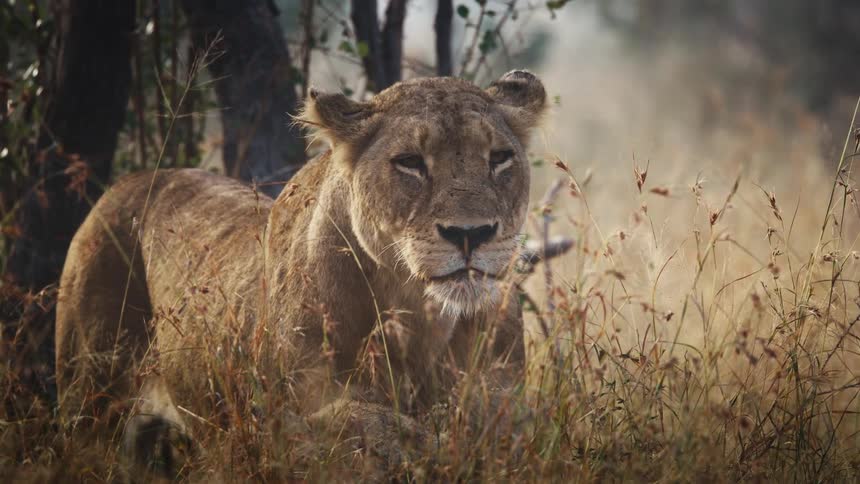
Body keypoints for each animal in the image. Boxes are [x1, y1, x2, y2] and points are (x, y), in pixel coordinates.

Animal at [55, 70, 547, 474]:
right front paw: (409, 441)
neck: (418, 315)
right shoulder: (288, 426)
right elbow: (350, 423)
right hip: (90, 399)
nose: (471, 234)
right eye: (409, 161)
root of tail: (125, 182)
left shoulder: (504, 410)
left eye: (500, 158)